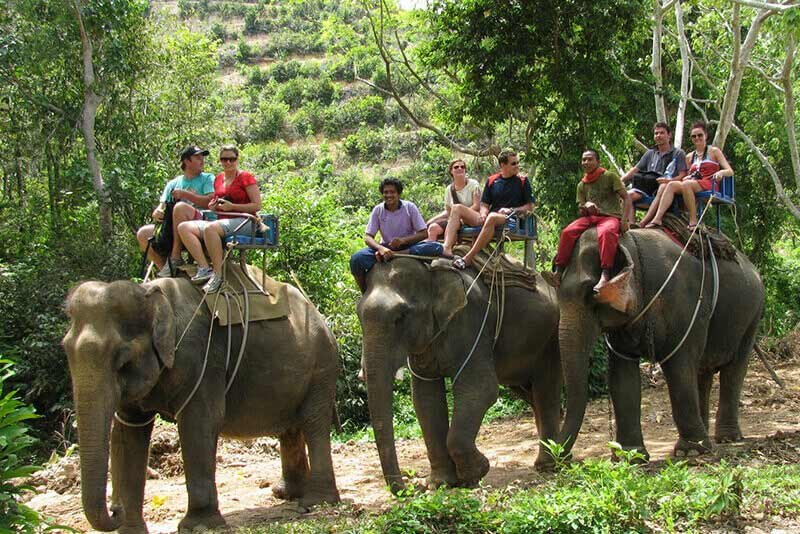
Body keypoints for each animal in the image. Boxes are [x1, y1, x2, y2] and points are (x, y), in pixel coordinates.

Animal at [62, 275, 340, 533]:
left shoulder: (202, 359)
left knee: (313, 422)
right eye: (65, 350)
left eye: (122, 360)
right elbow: (127, 434)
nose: (115, 508)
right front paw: (131, 530)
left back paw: (316, 502)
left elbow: (200, 422)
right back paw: (286, 494)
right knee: (291, 428)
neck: (151, 295)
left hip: (321, 366)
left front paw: (198, 526)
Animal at [357, 257, 562, 493]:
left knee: (545, 392)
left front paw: (475, 473)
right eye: (358, 315)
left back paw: (549, 465)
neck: (431, 272)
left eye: (400, 317)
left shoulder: (472, 321)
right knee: (530, 394)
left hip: (549, 341)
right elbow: (425, 399)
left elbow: (481, 388)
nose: (409, 487)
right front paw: (438, 483)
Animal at [556, 227, 763, 459]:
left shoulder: (682, 305)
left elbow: (679, 368)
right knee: (703, 372)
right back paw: (706, 437)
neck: (631, 246)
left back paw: (726, 439)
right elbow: (622, 377)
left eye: (590, 294)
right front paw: (630, 456)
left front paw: (688, 452)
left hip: (752, 316)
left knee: (733, 370)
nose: (561, 459)